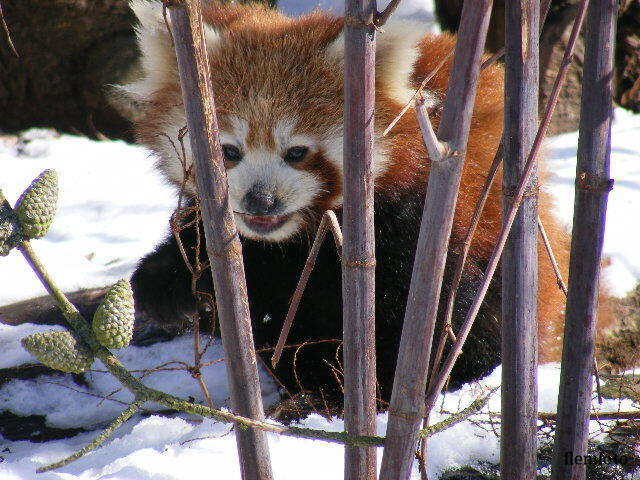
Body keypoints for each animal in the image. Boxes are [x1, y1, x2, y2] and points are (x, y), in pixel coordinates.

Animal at [121, 1, 616, 410]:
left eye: (296, 152)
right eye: (228, 151)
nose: (260, 200)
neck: (297, 242)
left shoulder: (425, 222)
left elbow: (452, 319)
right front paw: (165, 285)